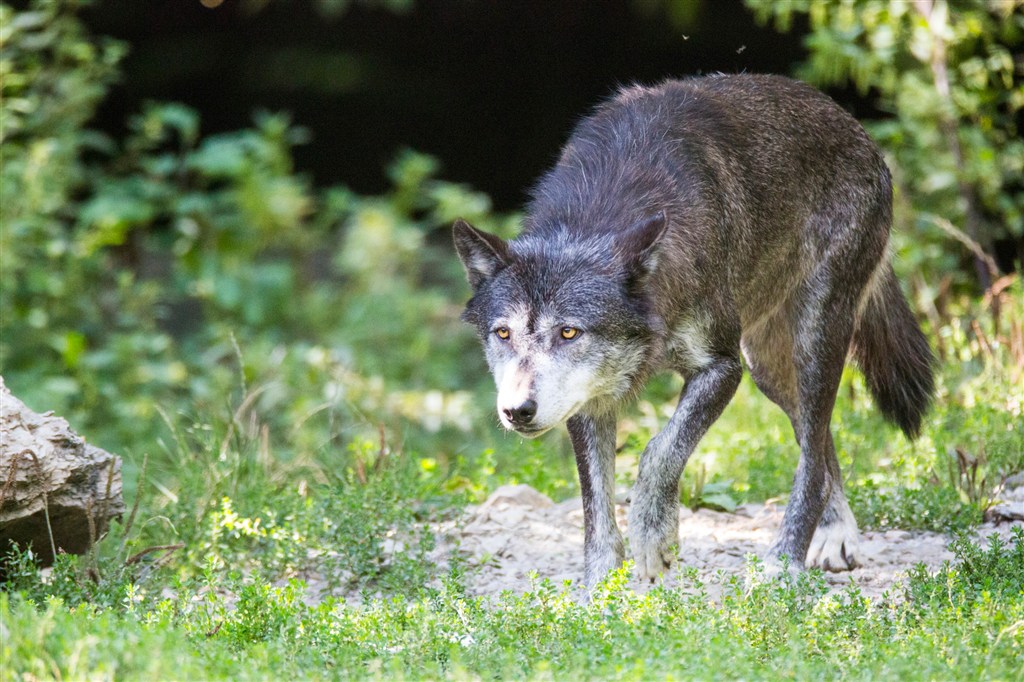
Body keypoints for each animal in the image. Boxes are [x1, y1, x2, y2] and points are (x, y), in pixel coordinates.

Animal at [452, 73, 933, 585]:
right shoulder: (588, 397)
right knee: (818, 444)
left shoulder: (721, 367)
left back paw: (783, 562)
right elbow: (595, 504)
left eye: (568, 333)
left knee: (813, 458)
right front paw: (600, 588)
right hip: (769, 369)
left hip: (811, 339)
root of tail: (856, 127)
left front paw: (653, 540)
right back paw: (834, 535)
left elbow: (660, 450)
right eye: (503, 334)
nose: (516, 411)